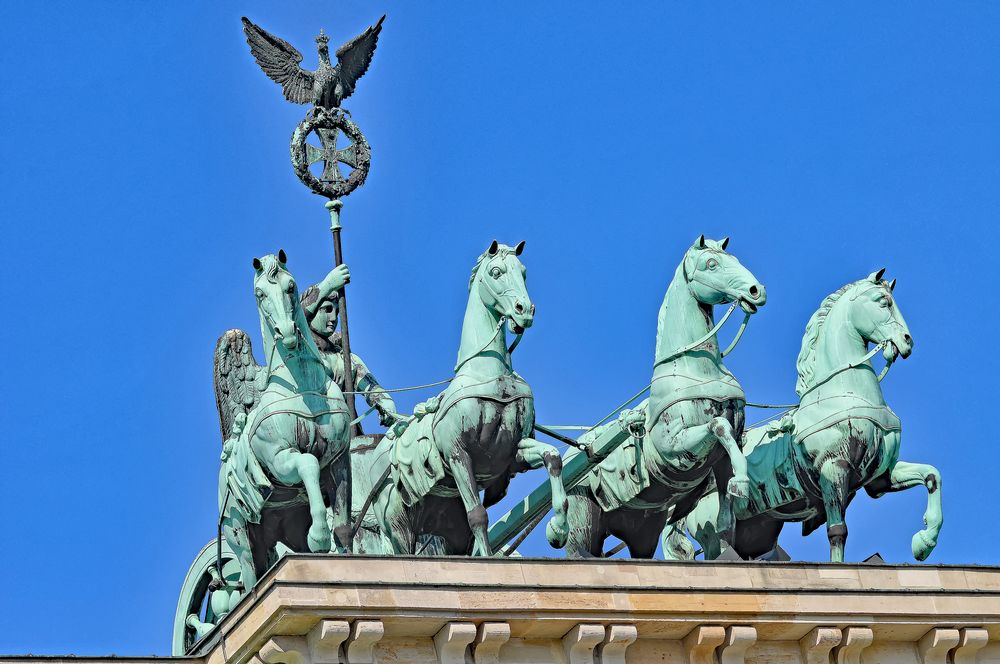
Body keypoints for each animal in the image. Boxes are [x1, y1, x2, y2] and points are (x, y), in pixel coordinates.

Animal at [564, 236, 764, 556]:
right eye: (711, 263)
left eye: (733, 258)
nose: (757, 291)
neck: (696, 369)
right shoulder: (675, 448)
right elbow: (718, 426)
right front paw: (743, 483)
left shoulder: (721, 458)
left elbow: (725, 521)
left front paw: (741, 487)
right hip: (582, 517)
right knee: (578, 550)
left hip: (644, 528)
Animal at [676, 270, 940, 560]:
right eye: (883, 301)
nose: (907, 341)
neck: (844, 392)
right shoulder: (833, 467)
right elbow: (837, 530)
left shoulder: (880, 477)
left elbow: (932, 475)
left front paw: (924, 542)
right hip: (713, 529)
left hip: (758, 531)